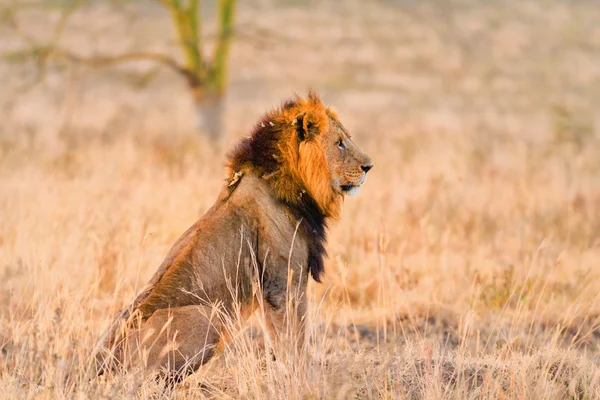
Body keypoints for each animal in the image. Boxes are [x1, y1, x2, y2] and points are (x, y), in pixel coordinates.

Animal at [93, 90, 372, 384]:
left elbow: (278, 339)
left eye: (347, 139)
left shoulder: (269, 291)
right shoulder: (284, 282)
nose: (369, 166)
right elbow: (295, 339)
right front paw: (304, 380)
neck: (294, 185)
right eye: (339, 143)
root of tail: (97, 365)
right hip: (209, 316)